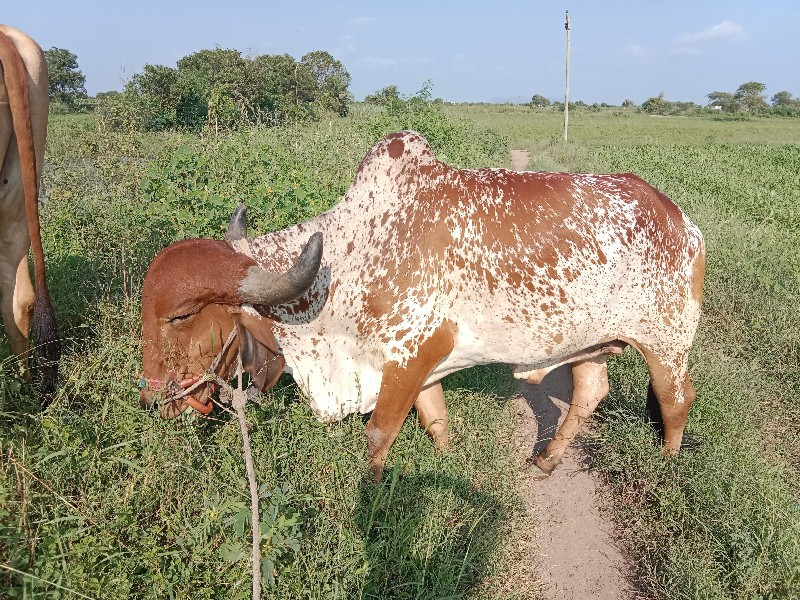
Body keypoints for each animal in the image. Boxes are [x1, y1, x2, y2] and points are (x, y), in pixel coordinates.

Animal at [141, 132, 704, 482]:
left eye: (181, 317)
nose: (151, 400)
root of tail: (681, 220)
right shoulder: (420, 366)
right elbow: (436, 421)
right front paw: (447, 464)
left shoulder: (410, 357)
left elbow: (378, 433)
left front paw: (370, 498)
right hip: (589, 342)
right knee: (590, 393)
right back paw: (547, 460)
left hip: (666, 344)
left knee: (676, 401)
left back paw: (668, 468)